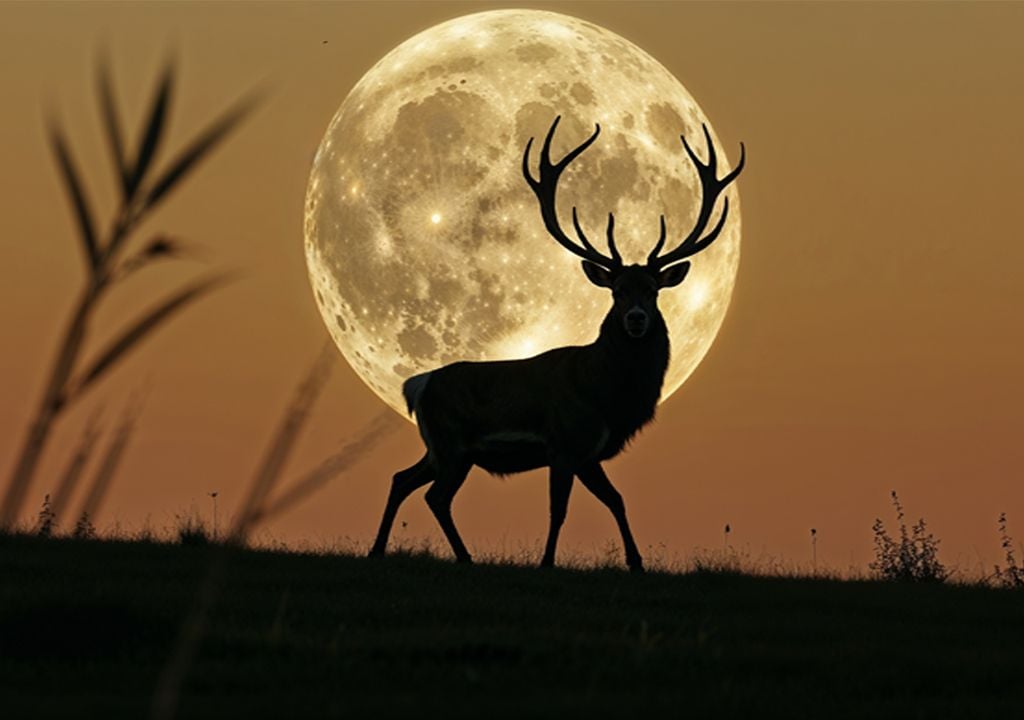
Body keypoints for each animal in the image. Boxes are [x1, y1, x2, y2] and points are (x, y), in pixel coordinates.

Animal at [368, 116, 744, 572]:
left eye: (653, 290)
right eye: (617, 291)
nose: (636, 319)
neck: (605, 393)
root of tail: (417, 384)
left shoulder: (589, 453)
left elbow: (617, 501)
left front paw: (636, 562)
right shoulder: (564, 442)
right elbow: (559, 508)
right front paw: (547, 562)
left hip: (438, 448)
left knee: (401, 479)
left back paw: (379, 549)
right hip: (452, 443)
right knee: (435, 496)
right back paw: (464, 557)